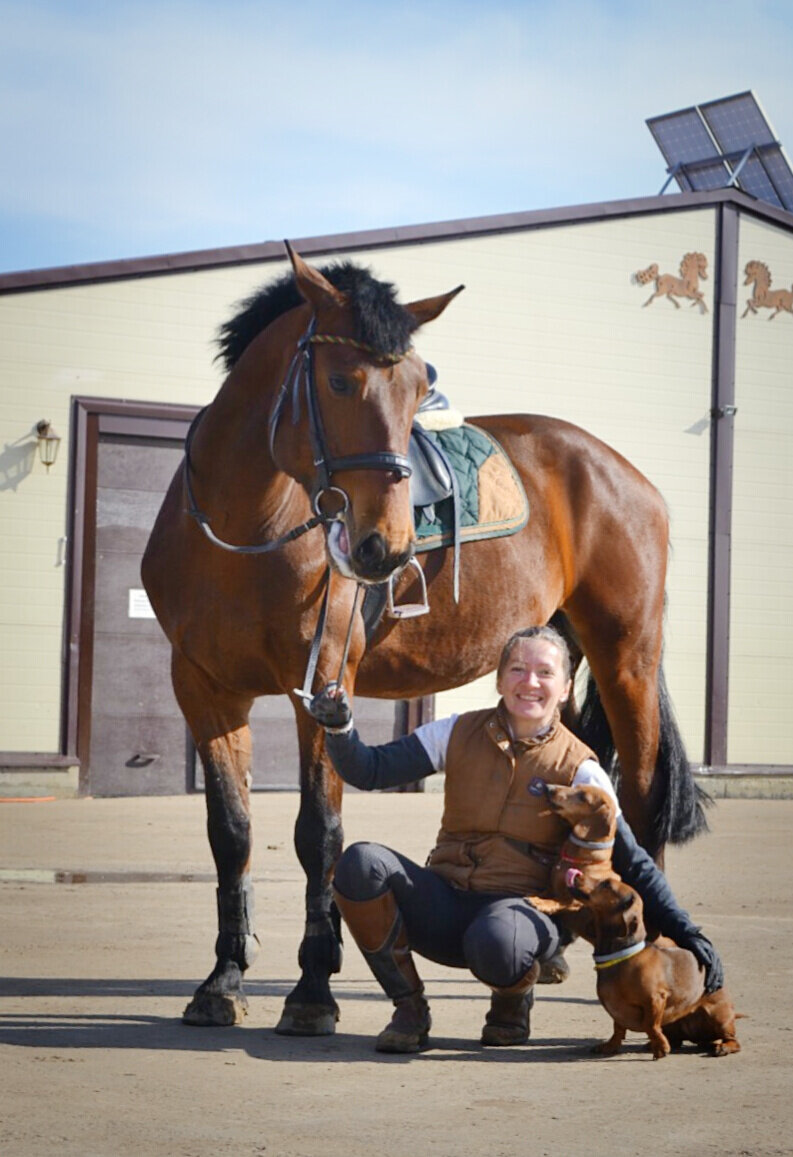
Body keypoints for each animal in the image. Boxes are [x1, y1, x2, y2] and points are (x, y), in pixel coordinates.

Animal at [140, 244, 703, 1041]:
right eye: (339, 380)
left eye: (415, 387)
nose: (385, 545)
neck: (243, 532)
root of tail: (626, 474)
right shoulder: (202, 686)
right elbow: (233, 831)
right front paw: (222, 980)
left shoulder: (321, 684)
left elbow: (318, 834)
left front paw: (312, 989)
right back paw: (560, 944)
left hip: (627, 654)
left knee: (642, 795)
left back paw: (647, 943)